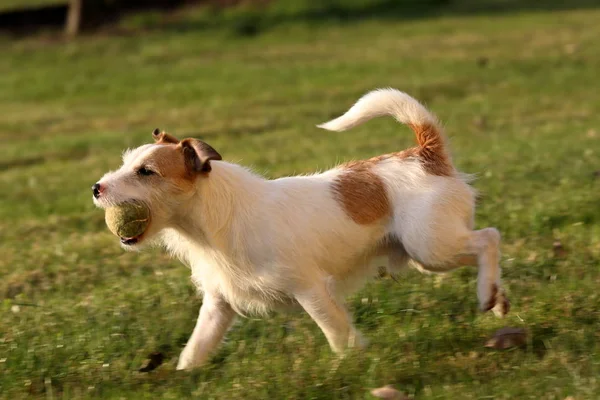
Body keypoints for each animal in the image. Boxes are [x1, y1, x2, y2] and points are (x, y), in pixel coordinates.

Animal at [91, 89, 508, 370]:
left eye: (147, 172)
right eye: (126, 163)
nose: (96, 188)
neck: (214, 222)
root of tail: (424, 155)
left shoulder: (311, 291)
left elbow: (337, 333)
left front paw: (350, 367)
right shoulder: (218, 305)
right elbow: (195, 349)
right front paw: (182, 376)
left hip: (431, 248)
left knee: (490, 237)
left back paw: (486, 292)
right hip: (427, 252)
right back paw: (498, 297)